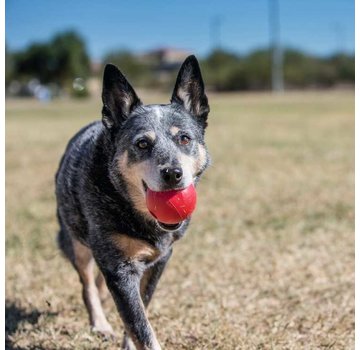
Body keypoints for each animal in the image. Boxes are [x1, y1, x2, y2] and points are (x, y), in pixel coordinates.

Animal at [54, 56, 210, 348]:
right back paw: (100, 324)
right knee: (87, 284)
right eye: (142, 144)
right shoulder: (118, 269)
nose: (173, 173)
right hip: (75, 240)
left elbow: (141, 308)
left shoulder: (160, 259)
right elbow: (139, 324)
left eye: (184, 138)